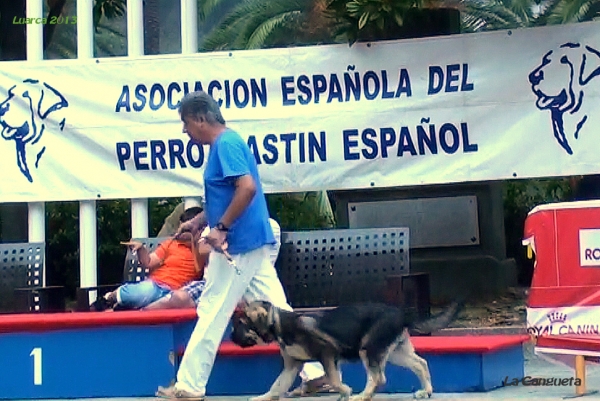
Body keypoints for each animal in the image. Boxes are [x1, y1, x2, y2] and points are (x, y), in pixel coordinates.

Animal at [232, 298, 462, 398]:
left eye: (240, 324)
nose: (232, 338)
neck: (279, 324)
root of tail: (401, 314)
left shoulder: (327, 354)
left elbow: (333, 379)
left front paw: (345, 391)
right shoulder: (291, 366)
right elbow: (277, 385)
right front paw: (262, 398)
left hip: (368, 349)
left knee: (378, 377)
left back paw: (362, 396)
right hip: (395, 351)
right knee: (420, 363)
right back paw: (426, 391)